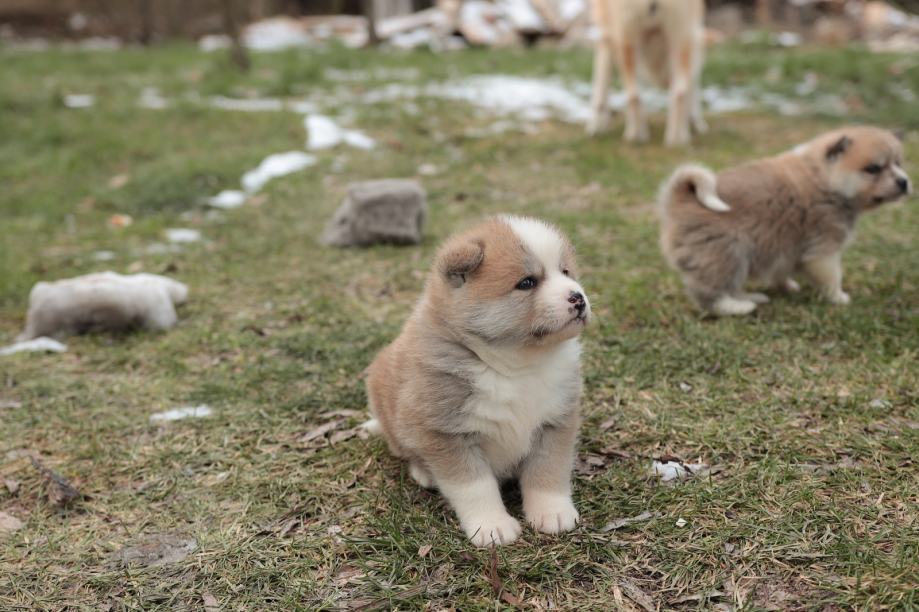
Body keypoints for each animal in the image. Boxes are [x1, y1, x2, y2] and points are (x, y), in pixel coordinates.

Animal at [364, 216, 591, 547]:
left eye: (565, 272)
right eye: (527, 283)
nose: (578, 298)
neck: (514, 367)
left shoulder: (555, 421)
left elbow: (548, 470)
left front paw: (553, 513)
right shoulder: (446, 434)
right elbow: (475, 487)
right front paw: (492, 526)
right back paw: (424, 471)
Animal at [587, 0, 707, 146]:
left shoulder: (605, 32)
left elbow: (601, 80)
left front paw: (596, 126)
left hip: (627, 39)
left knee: (633, 94)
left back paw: (635, 135)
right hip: (680, 36)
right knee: (680, 91)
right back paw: (677, 139)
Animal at [658, 126, 911, 316]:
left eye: (899, 163)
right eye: (874, 168)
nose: (904, 182)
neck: (825, 178)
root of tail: (679, 198)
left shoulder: (785, 246)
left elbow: (781, 270)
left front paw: (787, 286)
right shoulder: (824, 250)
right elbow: (831, 278)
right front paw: (838, 298)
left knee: (730, 286)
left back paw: (752, 296)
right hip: (726, 252)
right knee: (710, 294)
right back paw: (738, 307)